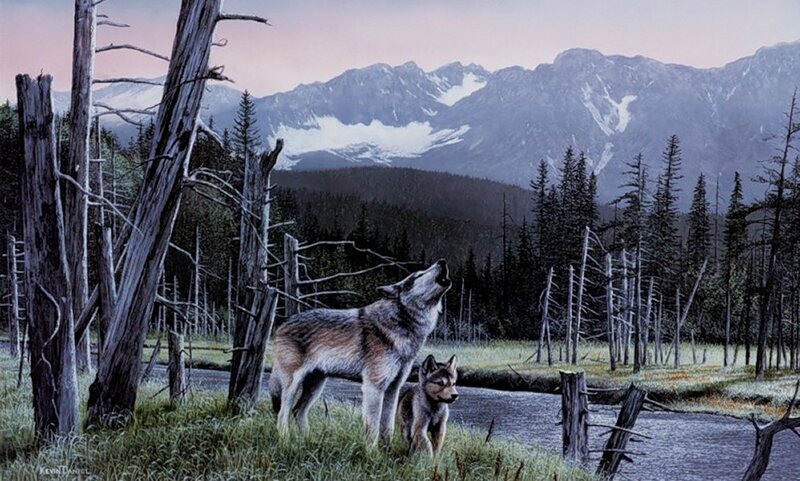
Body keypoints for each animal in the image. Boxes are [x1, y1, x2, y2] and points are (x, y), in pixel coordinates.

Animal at [270, 259, 451, 445]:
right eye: (419, 275)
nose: (442, 261)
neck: (402, 327)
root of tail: (283, 324)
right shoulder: (373, 387)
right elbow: (373, 428)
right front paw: (371, 451)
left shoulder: (393, 389)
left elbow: (387, 427)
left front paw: (387, 450)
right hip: (293, 385)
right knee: (282, 412)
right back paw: (286, 441)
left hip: (316, 386)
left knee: (298, 411)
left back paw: (308, 441)